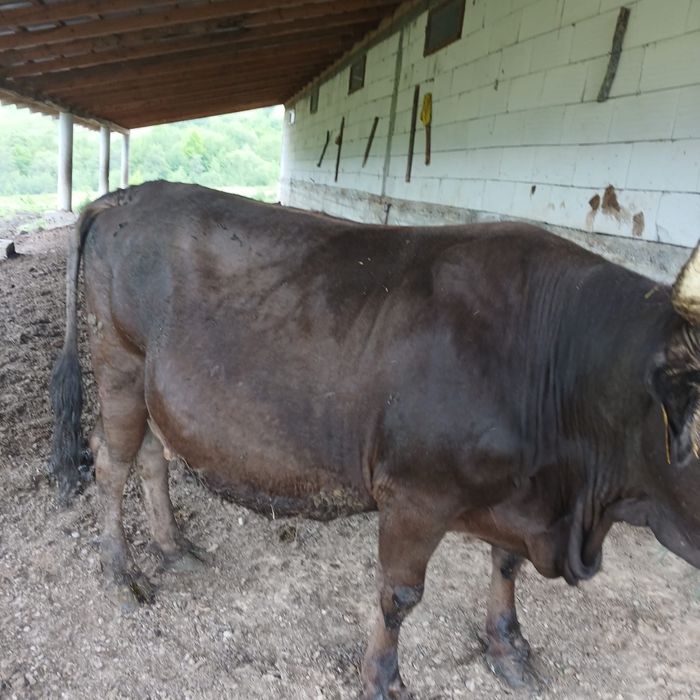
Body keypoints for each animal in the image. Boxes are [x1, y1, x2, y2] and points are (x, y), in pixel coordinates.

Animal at [51, 181, 700, 699]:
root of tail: (128, 194)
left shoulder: (519, 495)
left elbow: (506, 563)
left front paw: (508, 648)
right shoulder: (416, 494)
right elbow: (401, 596)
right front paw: (382, 678)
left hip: (149, 384)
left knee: (149, 457)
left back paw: (173, 547)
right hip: (119, 358)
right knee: (112, 463)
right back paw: (121, 571)